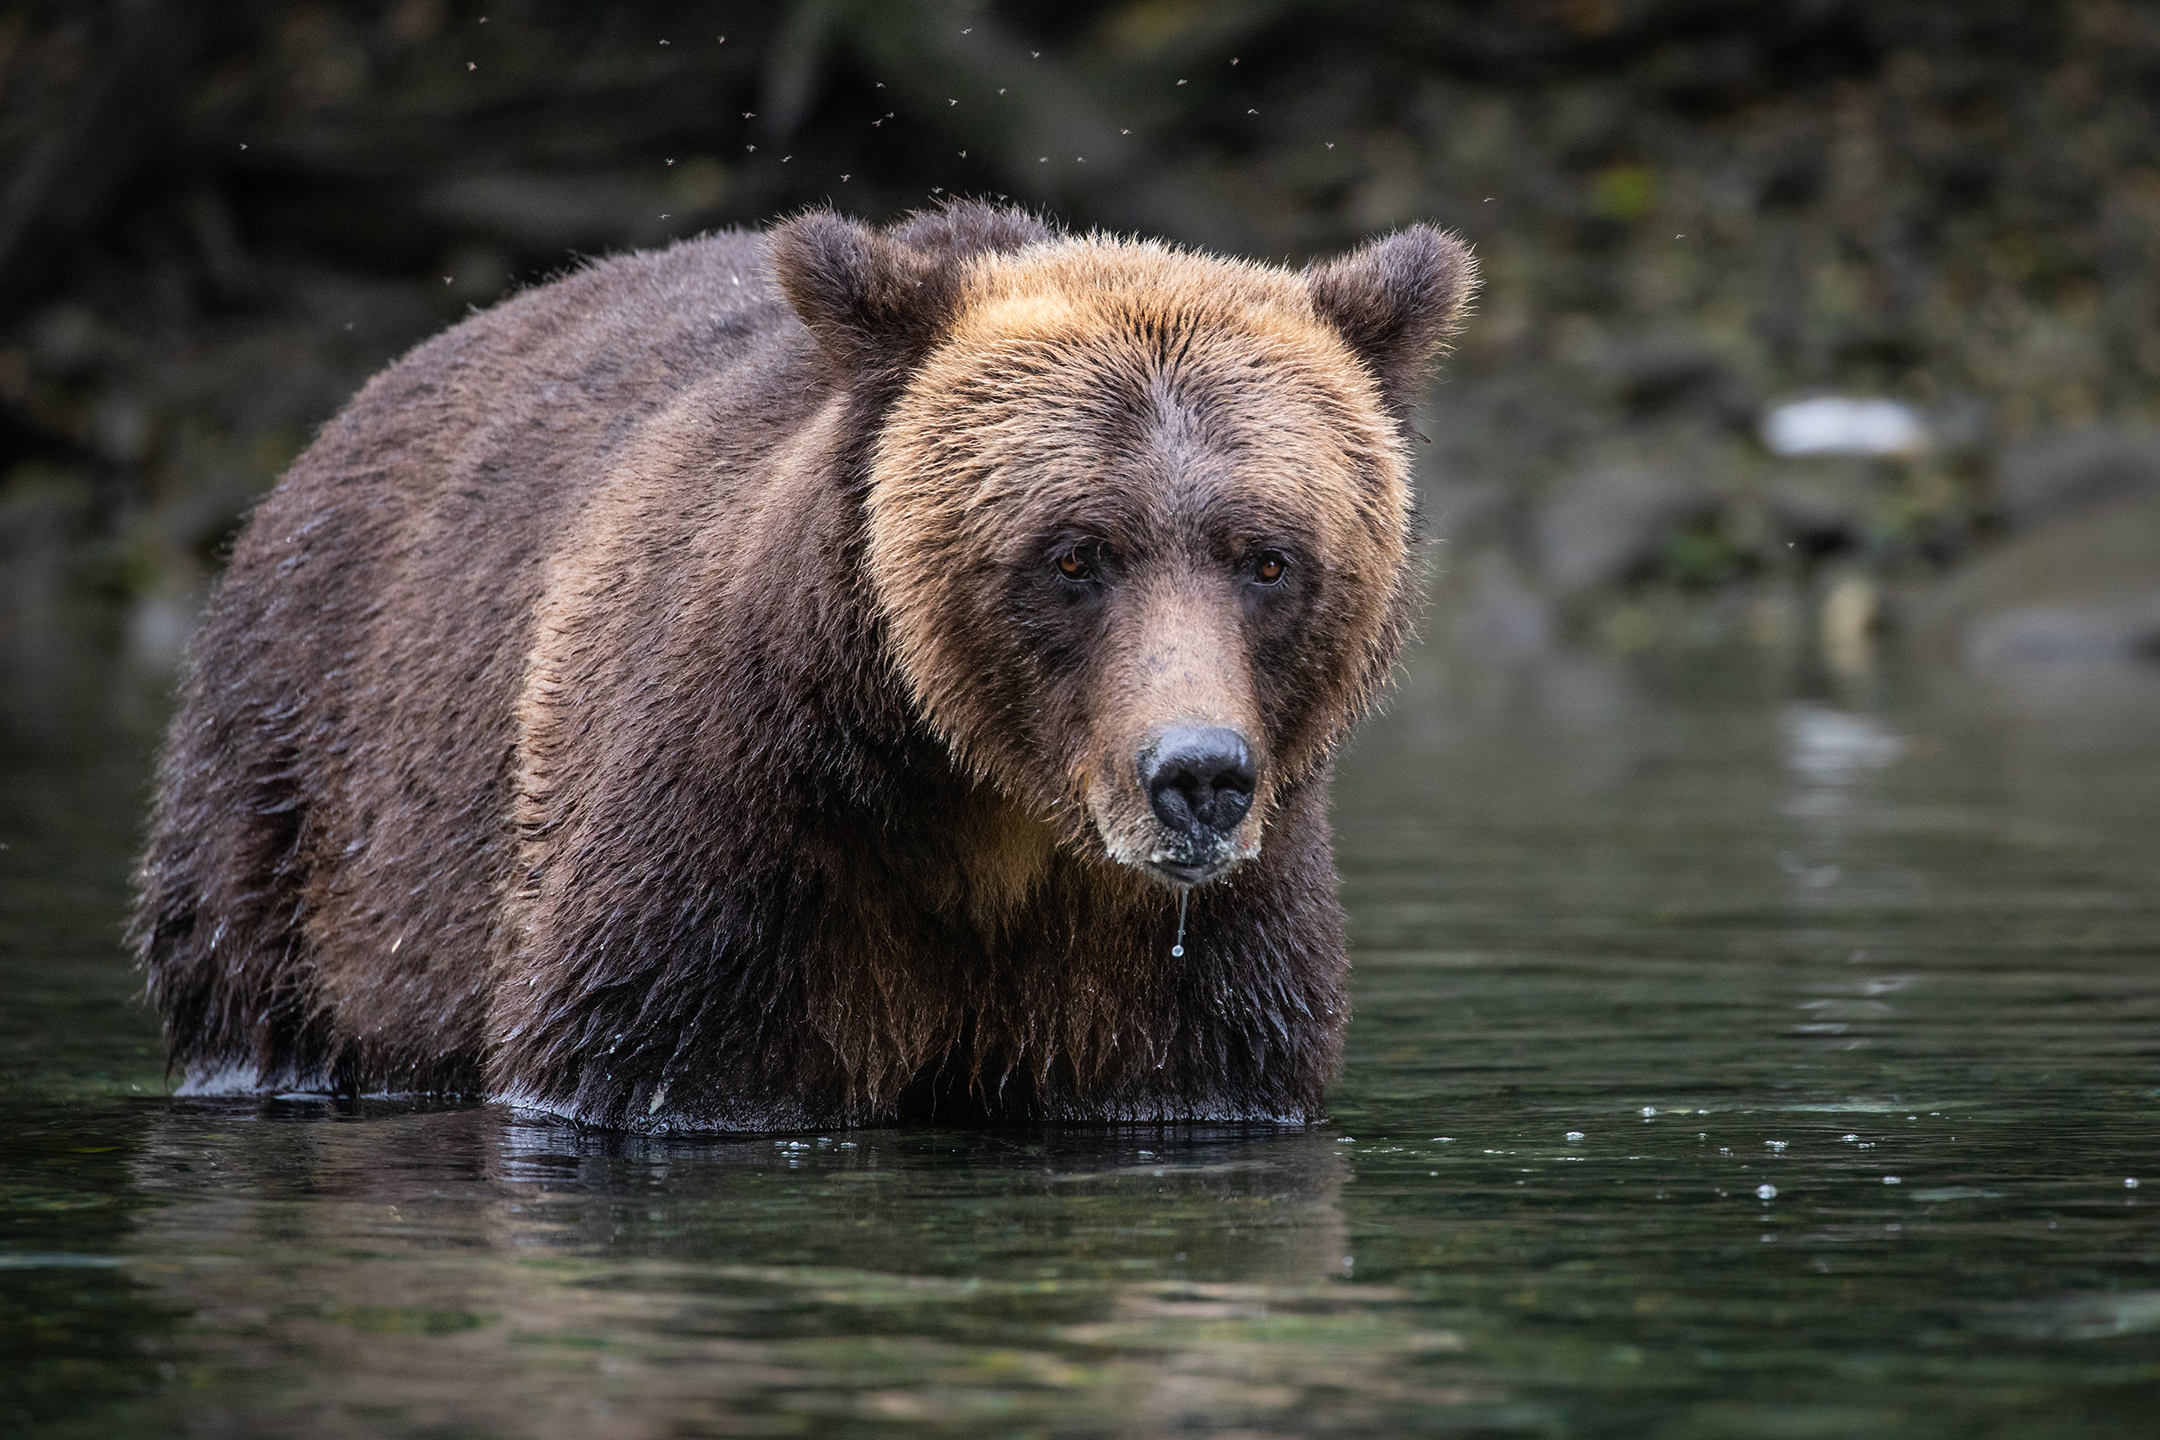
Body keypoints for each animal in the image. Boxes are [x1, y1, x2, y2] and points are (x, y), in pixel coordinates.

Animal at [131, 202, 1476, 1131]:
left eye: (1268, 558)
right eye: (1074, 553)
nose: (1195, 777)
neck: (988, 809)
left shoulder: (1196, 955)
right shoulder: (740, 851)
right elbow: (653, 1058)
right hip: (305, 806)